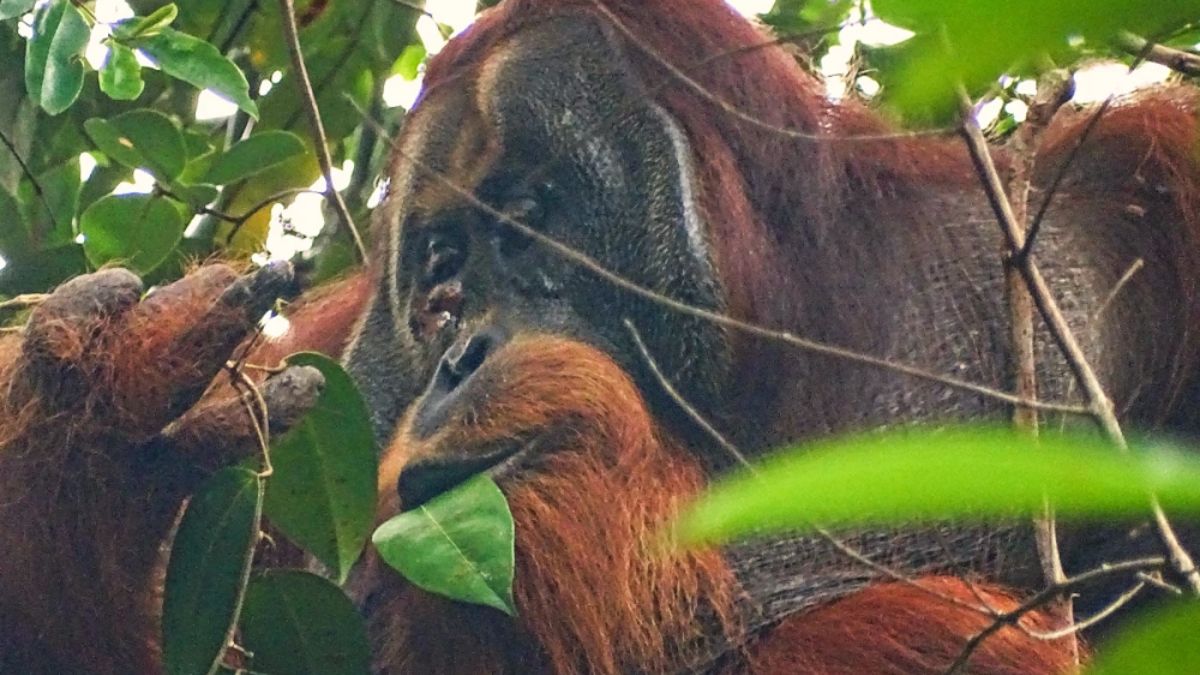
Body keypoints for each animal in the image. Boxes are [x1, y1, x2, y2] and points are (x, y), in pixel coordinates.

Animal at [3, 0, 1198, 672]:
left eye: (533, 223)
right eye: (443, 276)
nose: (462, 353)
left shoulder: (1104, 229)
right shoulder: (328, 379)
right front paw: (104, 427)